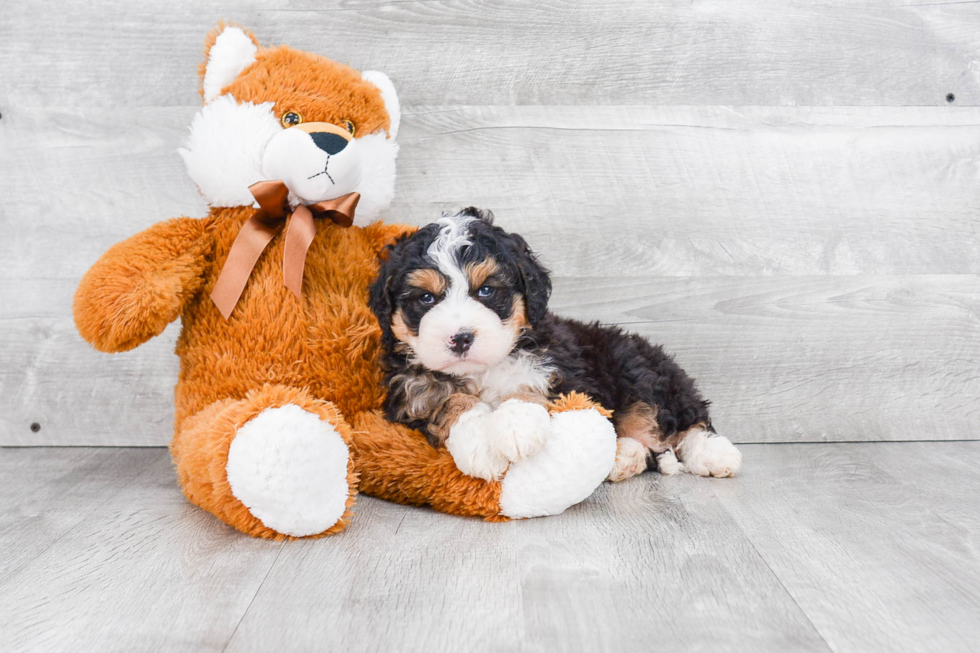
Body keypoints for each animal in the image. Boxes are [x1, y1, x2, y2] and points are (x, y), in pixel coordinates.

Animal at [370, 209, 744, 484]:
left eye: (487, 291)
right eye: (426, 298)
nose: (460, 338)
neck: (483, 369)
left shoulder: (562, 371)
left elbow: (529, 386)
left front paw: (517, 426)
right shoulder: (411, 393)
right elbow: (448, 400)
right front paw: (480, 448)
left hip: (637, 368)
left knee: (677, 420)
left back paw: (714, 454)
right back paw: (623, 457)